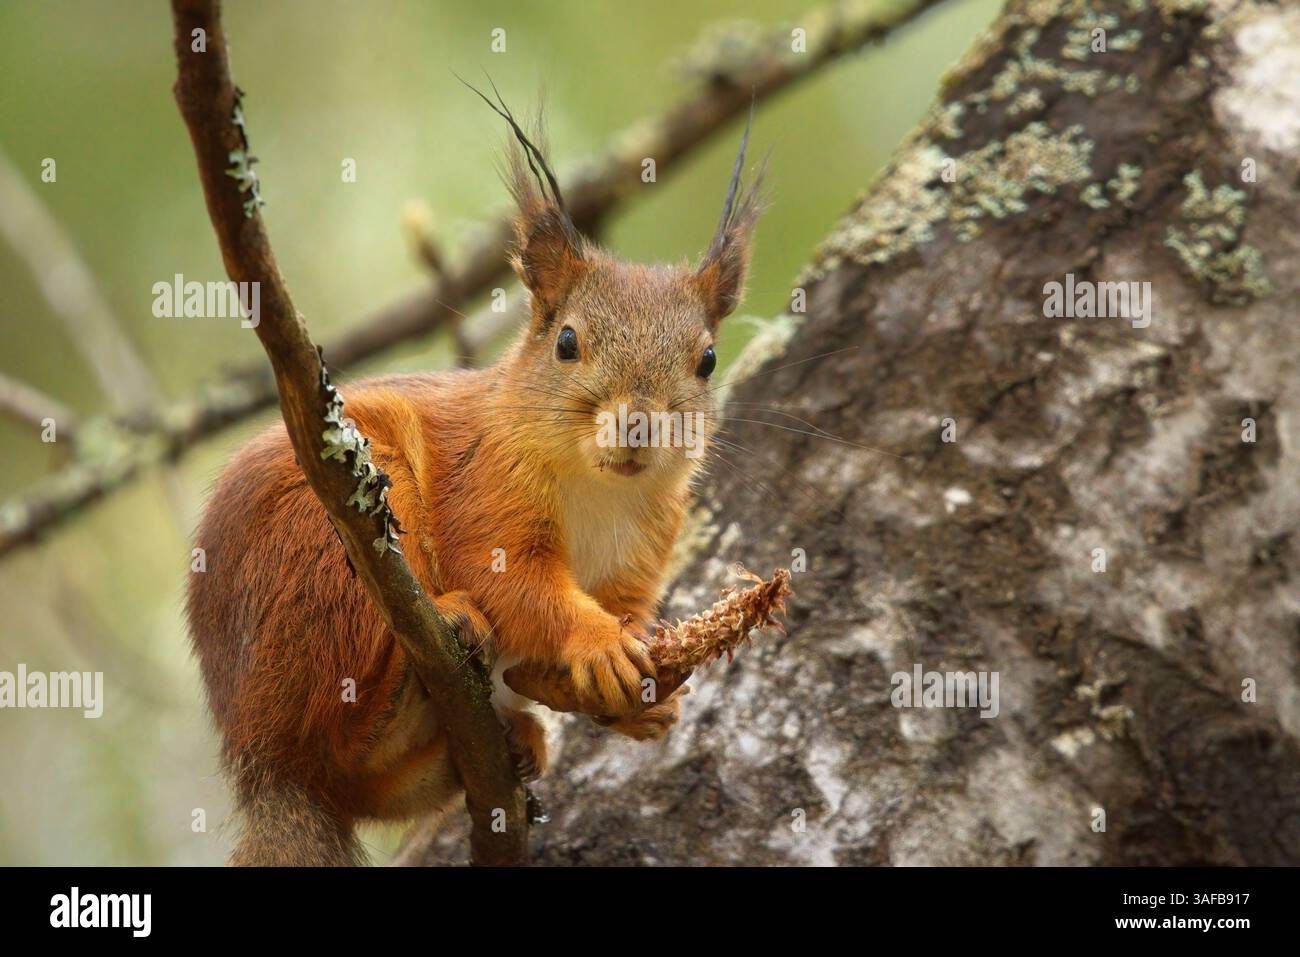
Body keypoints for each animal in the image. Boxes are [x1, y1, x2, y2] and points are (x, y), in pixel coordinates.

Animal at [186, 95, 764, 866]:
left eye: (706, 360)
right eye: (567, 342)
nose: (639, 426)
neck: (601, 490)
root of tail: (264, 764)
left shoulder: (644, 552)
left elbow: (619, 614)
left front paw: (639, 702)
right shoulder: (485, 490)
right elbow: (514, 583)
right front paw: (598, 641)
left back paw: (514, 739)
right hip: (331, 545)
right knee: (339, 731)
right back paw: (416, 669)